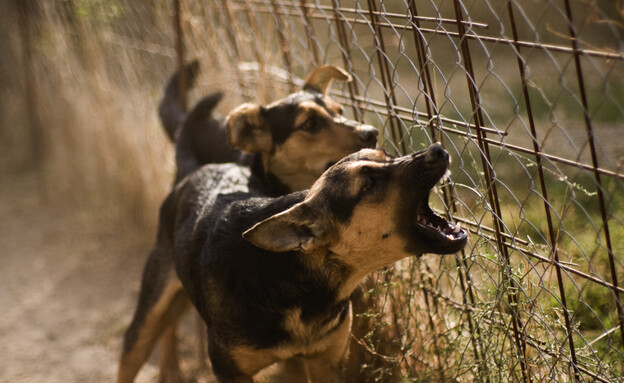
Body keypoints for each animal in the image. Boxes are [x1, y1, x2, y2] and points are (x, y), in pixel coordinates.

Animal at [118, 142, 468, 382]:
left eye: (386, 155)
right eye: (368, 184)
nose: (438, 149)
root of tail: (196, 169)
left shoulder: (326, 361)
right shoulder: (230, 371)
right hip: (147, 313)